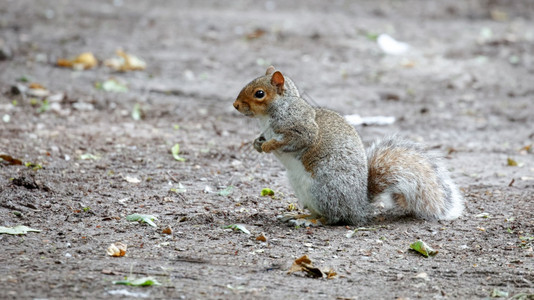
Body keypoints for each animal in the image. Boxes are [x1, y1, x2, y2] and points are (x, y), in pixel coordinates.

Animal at [234, 66, 464, 225]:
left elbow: (297, 140)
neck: (272, 113)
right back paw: (299, 215)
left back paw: (311, 221)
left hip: (323, 191)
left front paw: (268, 146)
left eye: (259, 94)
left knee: (332, 217)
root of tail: (358, 207)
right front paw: (257, 143)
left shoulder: (302, 129)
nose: (235, 105)